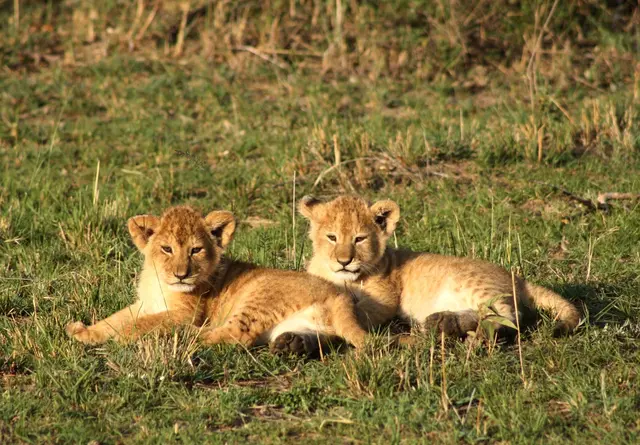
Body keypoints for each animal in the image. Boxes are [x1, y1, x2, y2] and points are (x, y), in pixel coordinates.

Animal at [65, 205, 367, 353]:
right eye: (167, 249)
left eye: (195, 250)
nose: (182, 275)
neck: (158, 281)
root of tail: (338, 294)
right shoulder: (144, 304)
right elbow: (114, 319)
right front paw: (84, 331)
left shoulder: (185, 313)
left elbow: (141, 323)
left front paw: (121, 336)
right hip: (303, 323)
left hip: (258, 296)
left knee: (234, 335)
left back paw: (175, 339)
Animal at [291, 195, 581, 349]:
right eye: (332, 237)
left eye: (359, 239)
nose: (344, 261)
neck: (343, 277)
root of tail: (516, 277)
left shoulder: (385, 299)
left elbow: (358, 310)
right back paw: (443, 323)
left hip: (472, 284)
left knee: (510, 316)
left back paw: (475, 338)